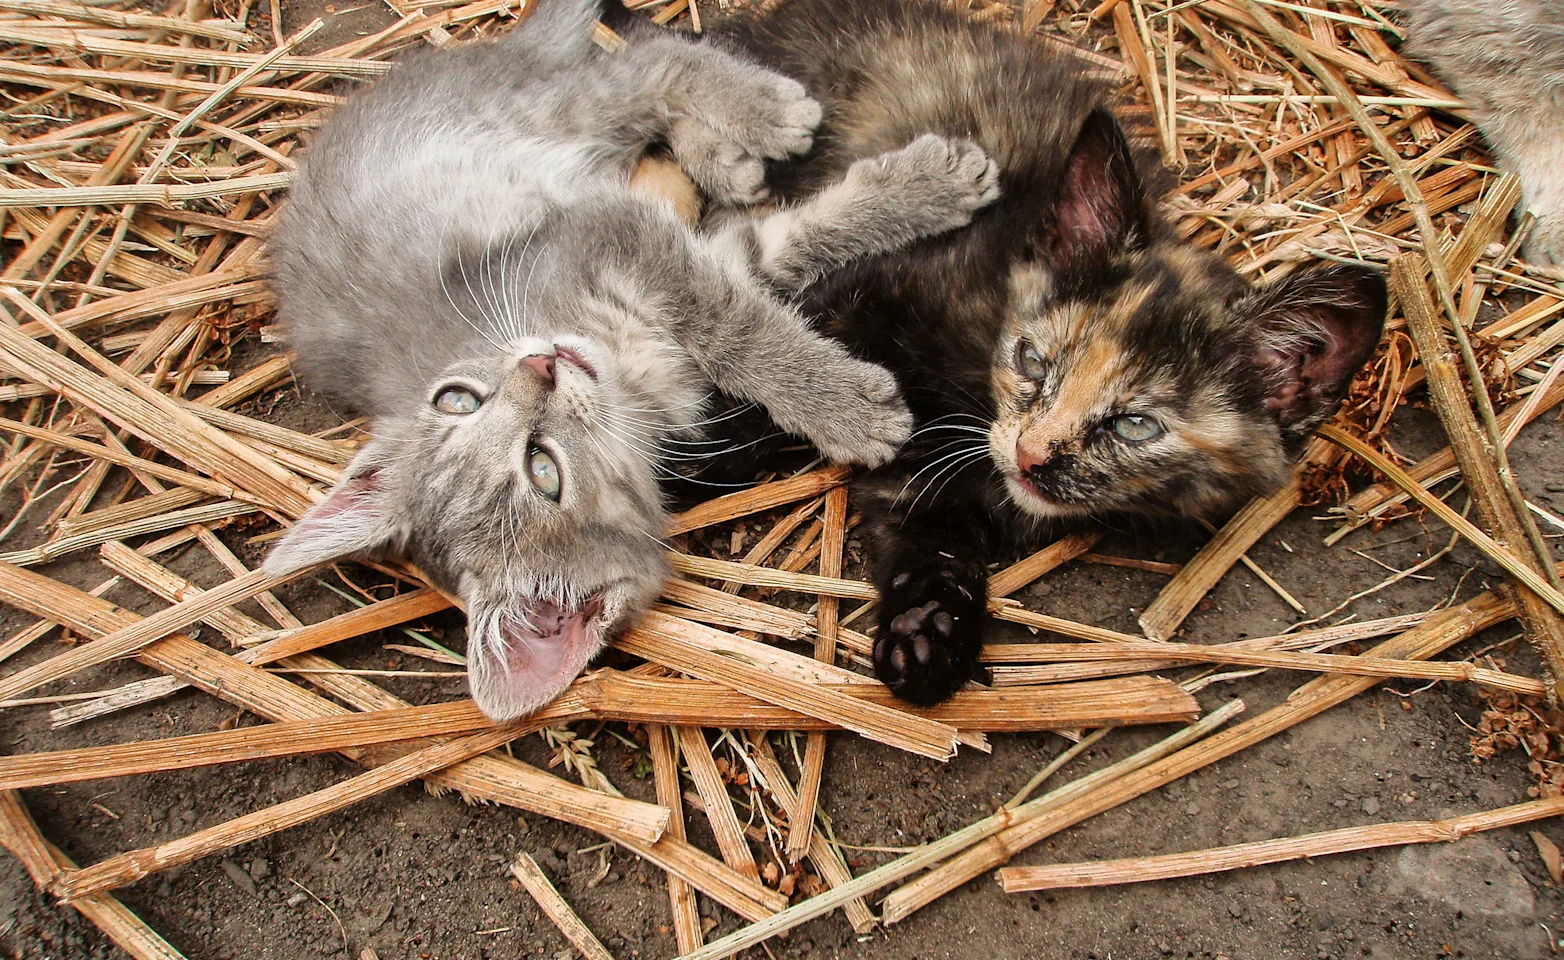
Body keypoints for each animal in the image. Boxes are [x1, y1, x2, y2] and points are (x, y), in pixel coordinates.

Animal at [265, 0, 1000, 722]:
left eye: (456, 399)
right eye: (544, 471)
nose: (541, 367)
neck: (625, 377)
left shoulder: (608, 234)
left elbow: (732, 319)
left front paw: (924, 187)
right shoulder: (689, 260)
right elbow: (776, 259)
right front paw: (846, 399)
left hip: (540, 115)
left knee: (650, 63)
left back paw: (760, 115)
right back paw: (730, 155)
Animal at [700, 0, 1395, 706]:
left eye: (1135, 425)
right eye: (1032, 362)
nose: (1030, 457)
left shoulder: (924, 492)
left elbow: (932, 551)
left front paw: (928, 637)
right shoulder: (852, 288)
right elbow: (764, 374)